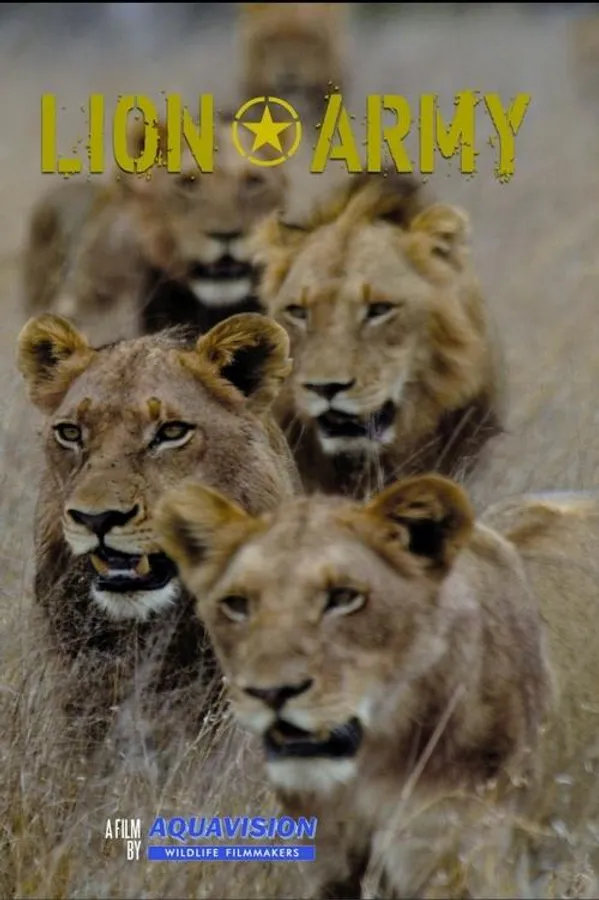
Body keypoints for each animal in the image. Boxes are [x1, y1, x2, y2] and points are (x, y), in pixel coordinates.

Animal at [155, 476, 599, 899]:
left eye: (344, 597)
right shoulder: (326, 865)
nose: (271, 693)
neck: (370, 770)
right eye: (237, 604)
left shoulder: (462, 866)